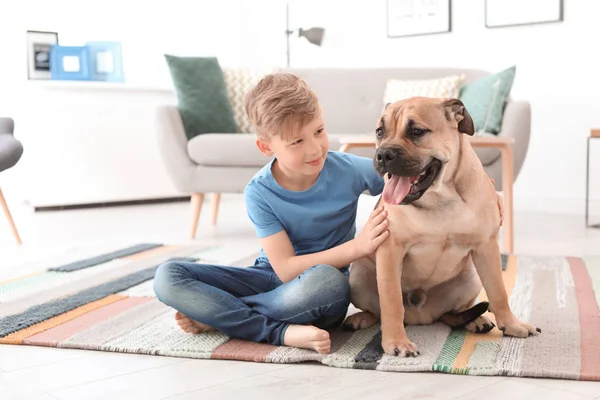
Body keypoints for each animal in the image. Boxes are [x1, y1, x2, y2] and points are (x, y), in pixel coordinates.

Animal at [344, 96, 540, 356]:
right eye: (379, 132)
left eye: (417, 131)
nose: (383, 154)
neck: (439, 198)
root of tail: (420, 317)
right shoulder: (390, 250)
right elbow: (391, 301)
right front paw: (396, 342)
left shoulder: (486, 247)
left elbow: (498, 290)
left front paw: (512, 325)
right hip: (357, 277)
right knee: (377, 311)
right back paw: (361, 318)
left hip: (471, 278)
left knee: (450, 315)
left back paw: (475, 320)